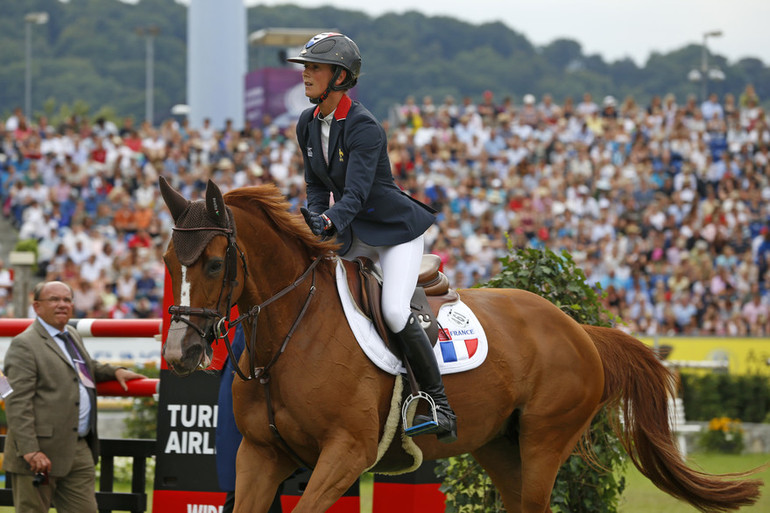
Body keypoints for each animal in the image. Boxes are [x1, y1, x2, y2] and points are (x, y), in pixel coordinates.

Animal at [159, 177, 760, 512]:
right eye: (168, 262)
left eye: (213, 263)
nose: (179, 354)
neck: (289, 335)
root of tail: (577, 328)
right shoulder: (262, 457)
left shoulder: (345, 454)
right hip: (498, 445)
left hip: (544, 441)